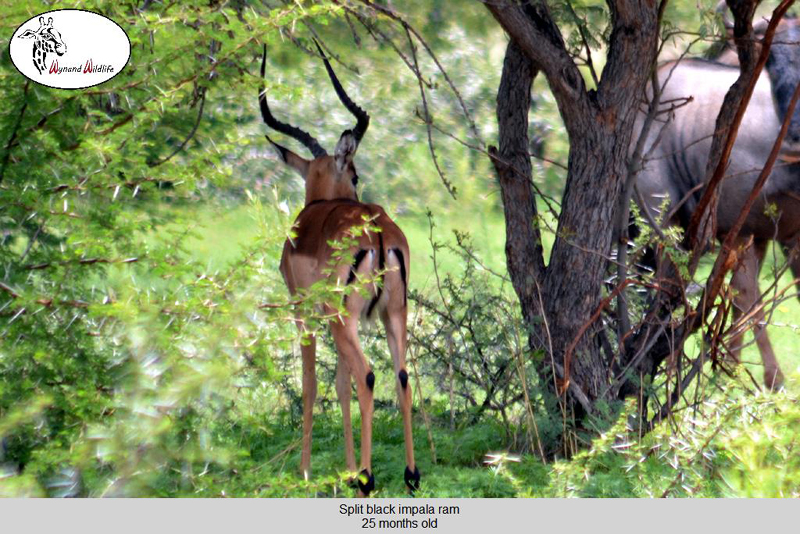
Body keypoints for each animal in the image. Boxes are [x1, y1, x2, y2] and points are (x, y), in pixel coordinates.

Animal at [258, 43, 419, 497]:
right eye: (356, 175)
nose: (357, 188)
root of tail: (377, 233)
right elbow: (341, 385)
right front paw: (345, 469)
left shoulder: (304, 312)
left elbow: (313, 382)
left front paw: (306, 470)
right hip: (393, 314)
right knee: (401, 376)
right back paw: (410, 474)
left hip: (341, 317)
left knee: (367, 376)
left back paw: (367, 479)